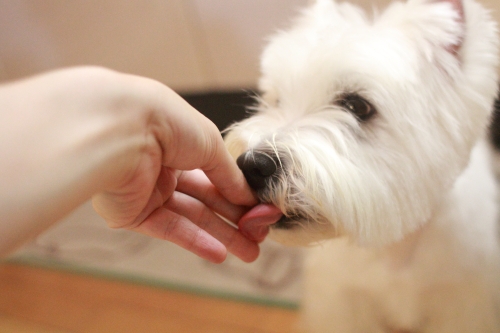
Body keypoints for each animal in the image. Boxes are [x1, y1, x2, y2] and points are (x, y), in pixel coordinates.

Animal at [226, 0, 500, 330]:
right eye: (277, 100)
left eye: (357, 105)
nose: (253, 165)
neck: (396, 247)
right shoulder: (342, 301)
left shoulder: (463, 304)